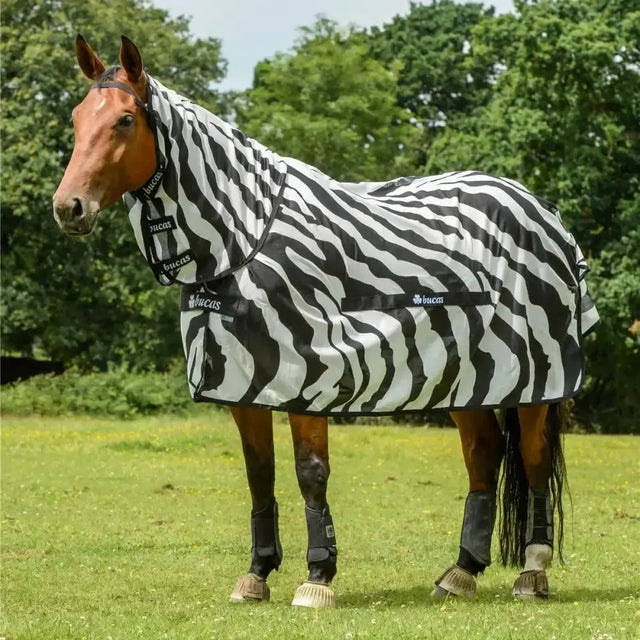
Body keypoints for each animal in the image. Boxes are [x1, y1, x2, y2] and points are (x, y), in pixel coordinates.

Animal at [53, 35, 599, 608]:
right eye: (76, 118)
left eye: (125, 120)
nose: (69, 207)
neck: (245, 236)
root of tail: (544, 210)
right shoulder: (244, 383)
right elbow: (260, 475)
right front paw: (257, 574)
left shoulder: (308, 375)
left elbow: (310, 473)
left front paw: (317, 577)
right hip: (467, 375)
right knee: (485, 453)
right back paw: (461, 571)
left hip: (536, 379)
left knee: (534, 461)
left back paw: (532, 574)